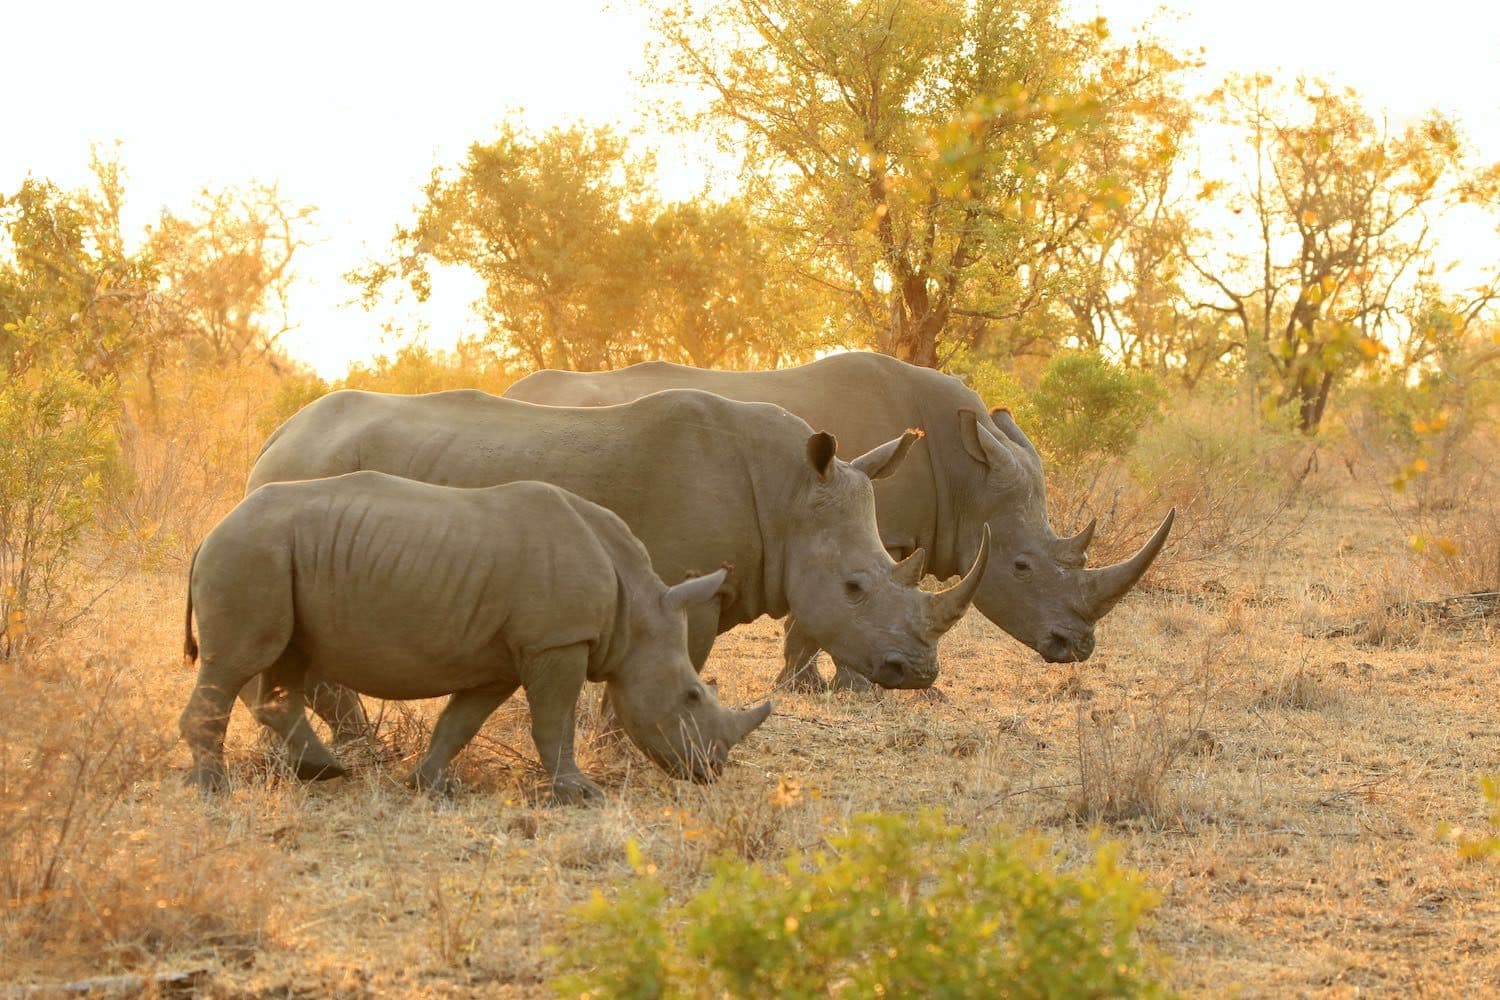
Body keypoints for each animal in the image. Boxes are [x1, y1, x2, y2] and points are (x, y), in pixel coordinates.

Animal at [181, 473, 773, 801]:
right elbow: (553, 722)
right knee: (237, 663)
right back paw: (216, 790)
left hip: (271, 554)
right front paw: (581, 794)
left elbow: (460, 722)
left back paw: (323, 772)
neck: (636, 611)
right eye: (692, 697)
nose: (713, 770)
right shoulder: (557, 642)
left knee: (286, 663)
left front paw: (429, 786)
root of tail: (212, 530)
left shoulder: (504, 659)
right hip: (252, 551)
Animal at [245, 387, 989, 740]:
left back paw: (357, 747)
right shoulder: (687, 588)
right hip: (310, 475)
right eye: (855, 586)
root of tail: (275, 437)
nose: (920, 673)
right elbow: (669, 666)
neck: (787, 494)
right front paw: (625, 746)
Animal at [506, 352, 1174, 688]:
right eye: (1022, 566)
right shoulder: (873, 529)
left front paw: (807, 684)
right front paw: (839, 688)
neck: (966, 474)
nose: (1076, 649)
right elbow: (834, 612)